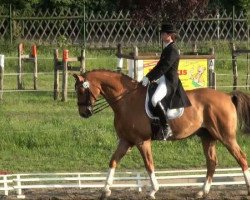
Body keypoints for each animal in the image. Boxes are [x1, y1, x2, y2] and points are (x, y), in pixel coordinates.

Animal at [72, 69, 250, 199]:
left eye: (81, 90)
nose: (84, 113)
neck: (126, 100)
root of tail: (228, 96)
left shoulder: (142, 141)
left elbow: (149, 164)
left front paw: (153, 191)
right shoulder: (126, 140)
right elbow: (113, 161)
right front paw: (105, 190)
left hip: (226, 137)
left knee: (241, 158)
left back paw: (247, 189)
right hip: (208, 137)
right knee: (212, 162)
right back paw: (202, 192)